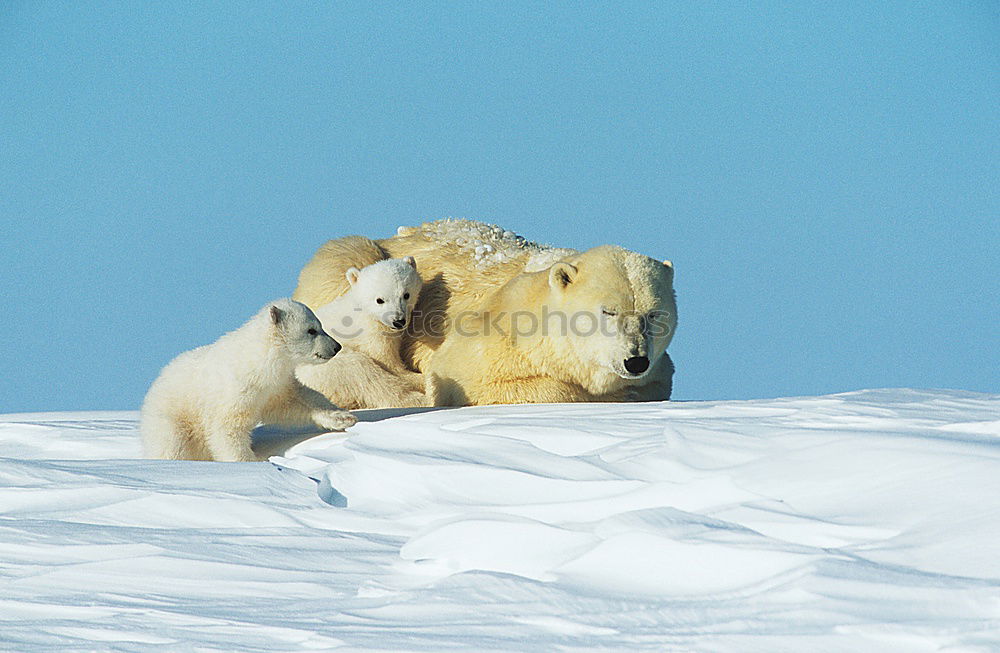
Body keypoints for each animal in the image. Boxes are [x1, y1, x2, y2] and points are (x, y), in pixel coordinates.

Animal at [140, 298, 360, 460]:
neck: (256, 362)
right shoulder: (235, 391)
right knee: (171, 445)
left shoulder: (275, 386)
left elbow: (299, 400)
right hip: (173, 418)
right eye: (311, 330)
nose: (336, 346)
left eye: (320, 326)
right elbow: (227, 430)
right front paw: (252, 462)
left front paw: (343, 418)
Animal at [292, 256, 426, 404]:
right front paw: (416, 378)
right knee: (365, 374)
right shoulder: (369, 333)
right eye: (379, 300)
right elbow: (388, 363)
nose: (398, 321)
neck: (363, 309)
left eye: (406, 295)